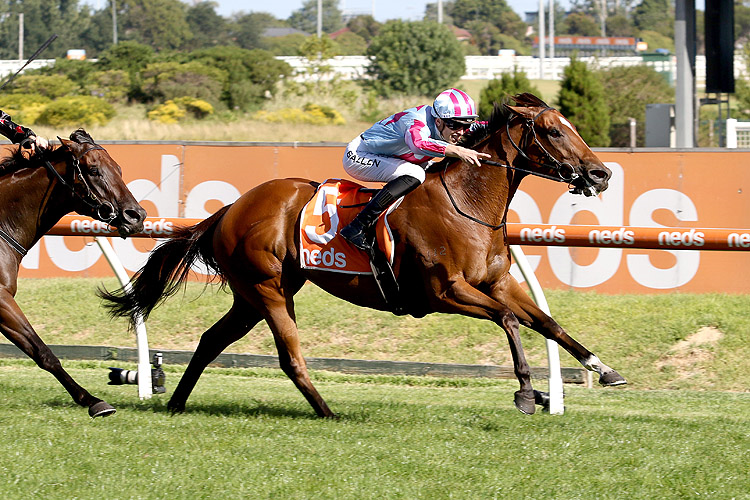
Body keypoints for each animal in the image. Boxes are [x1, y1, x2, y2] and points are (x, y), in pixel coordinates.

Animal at [0, 130, 147, 418]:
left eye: (119, 169)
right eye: (94, 170)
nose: (136, 216)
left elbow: (36, 349)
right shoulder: (2, 299)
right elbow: (43, 351)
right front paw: (92, 400)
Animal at [101, 94, 628, 418]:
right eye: (553, 132)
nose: (600, 174)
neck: (468, 203)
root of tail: (232, 208)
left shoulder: (499, 283)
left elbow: (547, 323)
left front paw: (604, 370)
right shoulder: (445, 292)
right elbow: (511, 321)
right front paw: (524, 391)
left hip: (253, 294)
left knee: (212, 340)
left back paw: (177, 403)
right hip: (268, 290)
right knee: (289, 357)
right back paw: (328, 412)